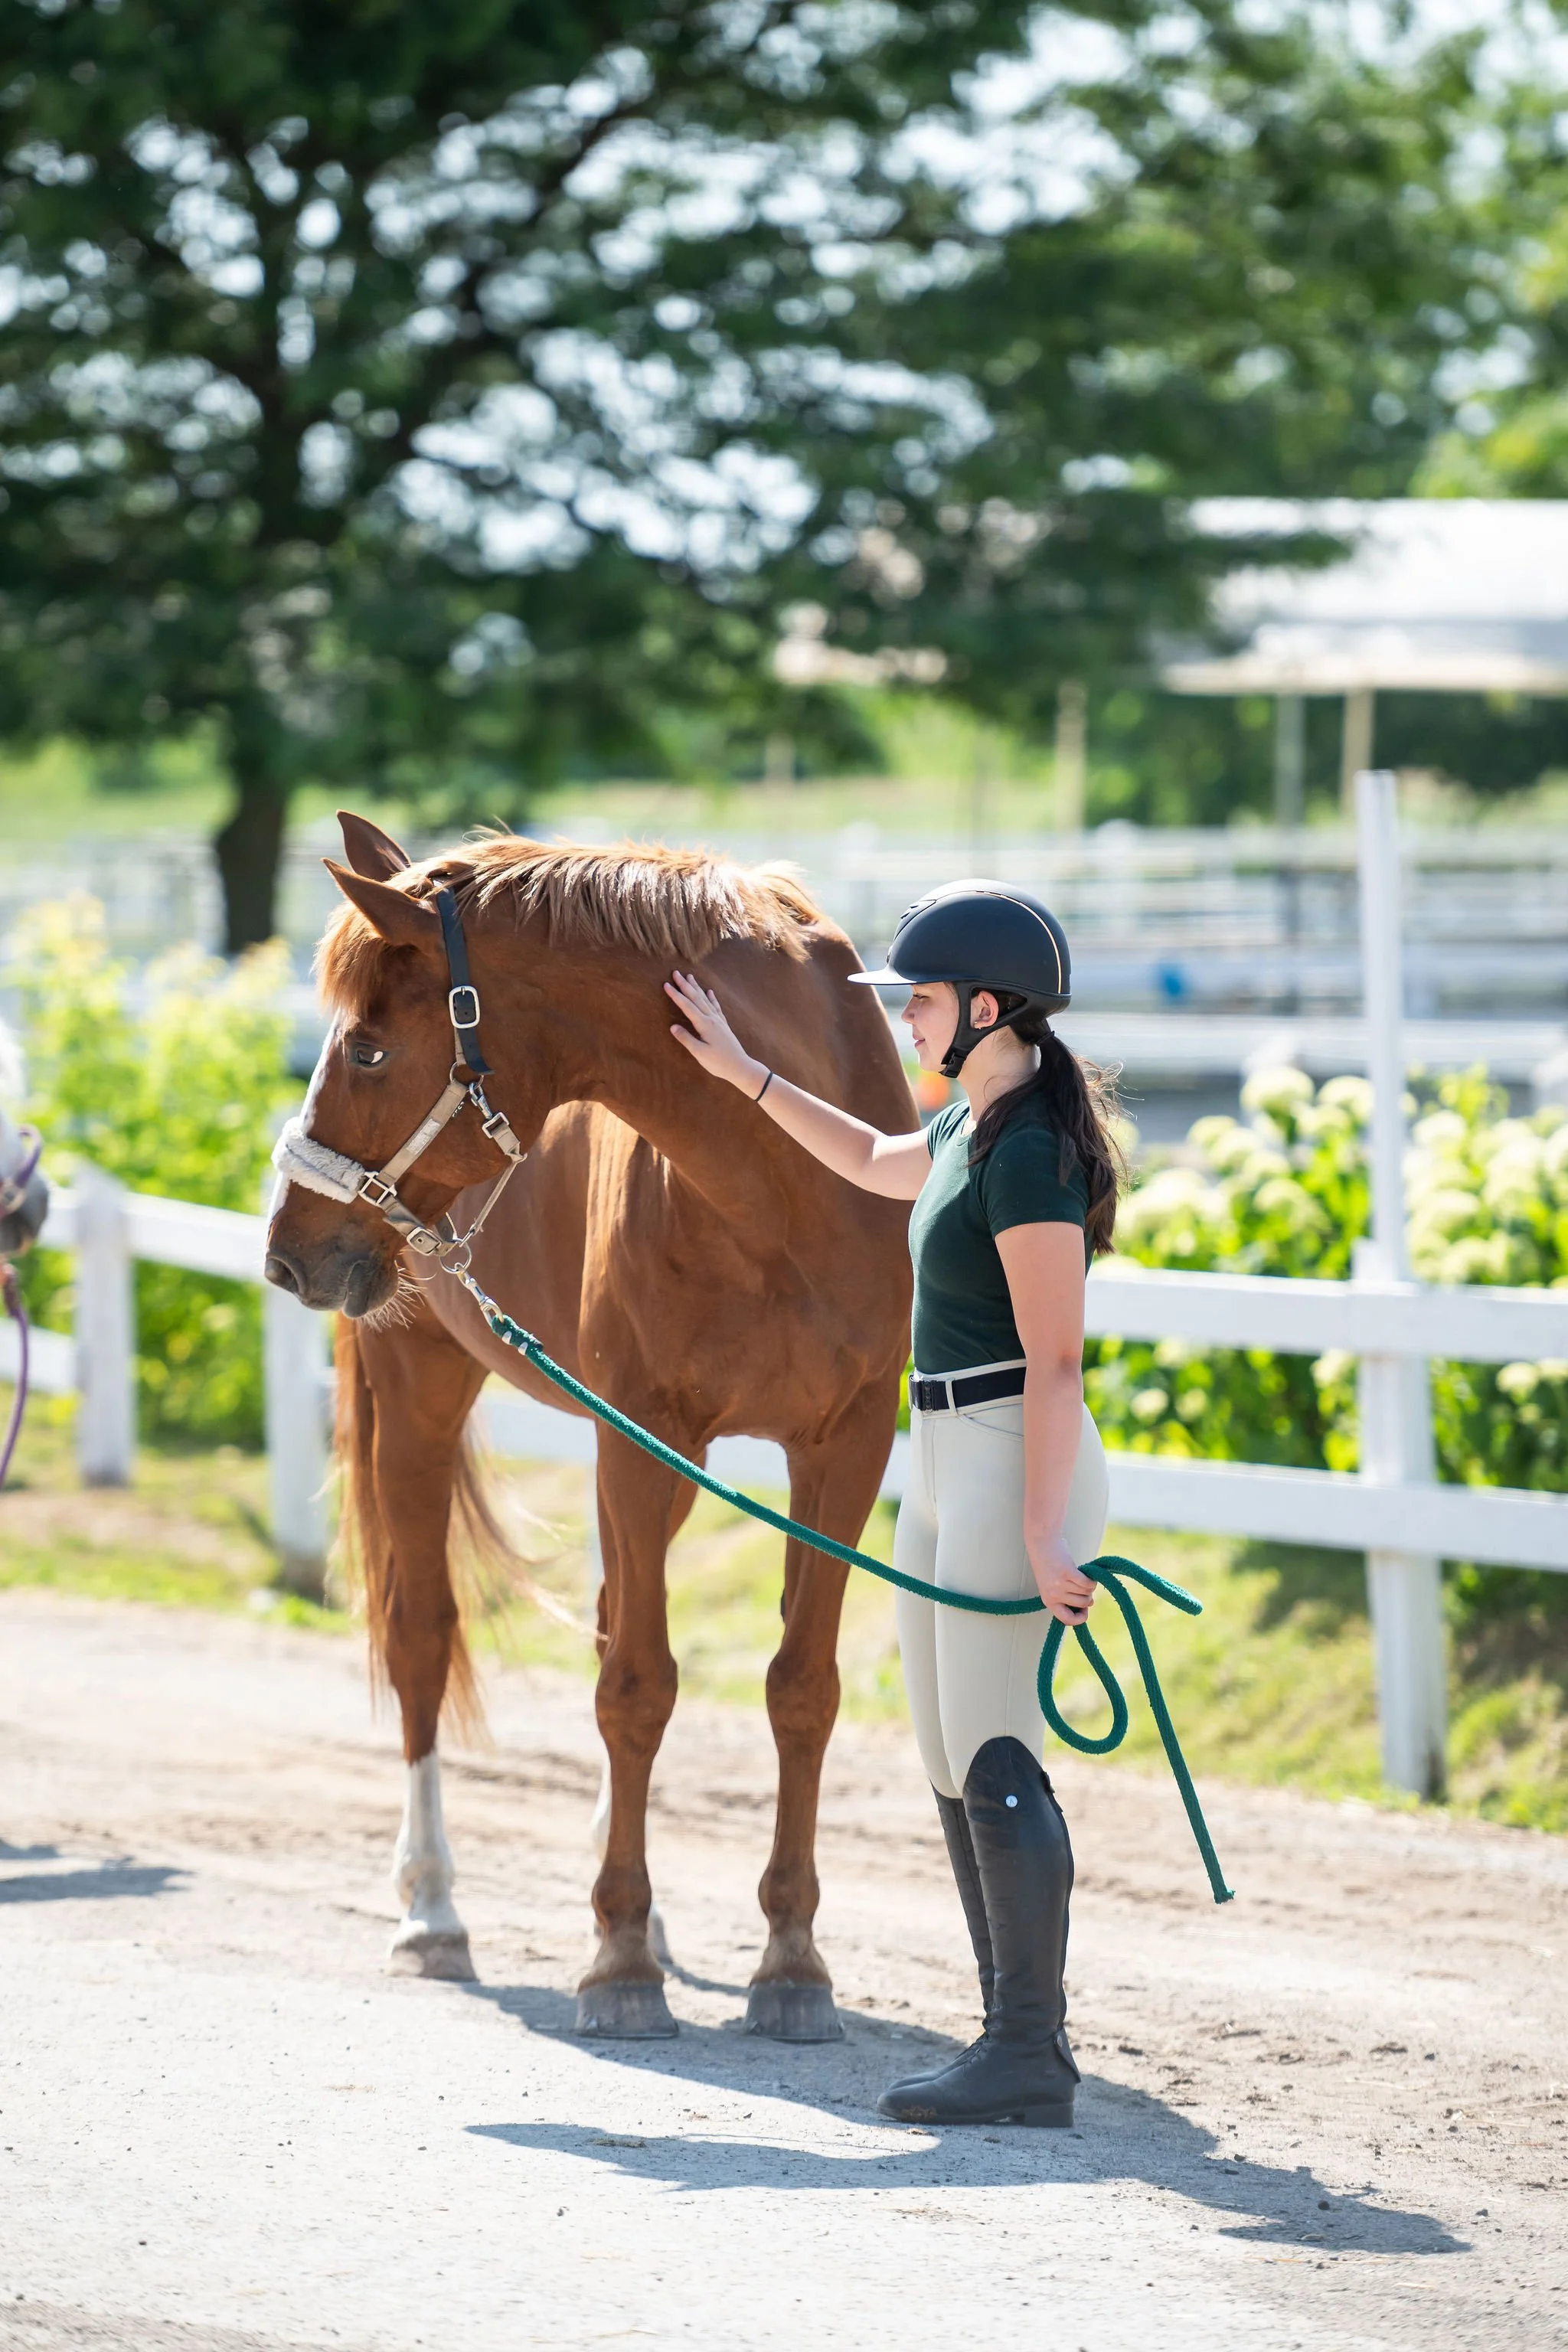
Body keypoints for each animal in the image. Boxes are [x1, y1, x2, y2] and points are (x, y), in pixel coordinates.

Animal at [264, 813, 912, 2039]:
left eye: (365, 1050)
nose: (287, 1248)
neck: (781, 1191)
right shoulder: (637, 1442)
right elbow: (636, 1688)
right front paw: (618, 1962)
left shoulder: (841, 1450)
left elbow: (799, 1689)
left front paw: (790, 1959)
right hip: (424, 1396)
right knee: (423, 1640)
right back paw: (434, 1912)